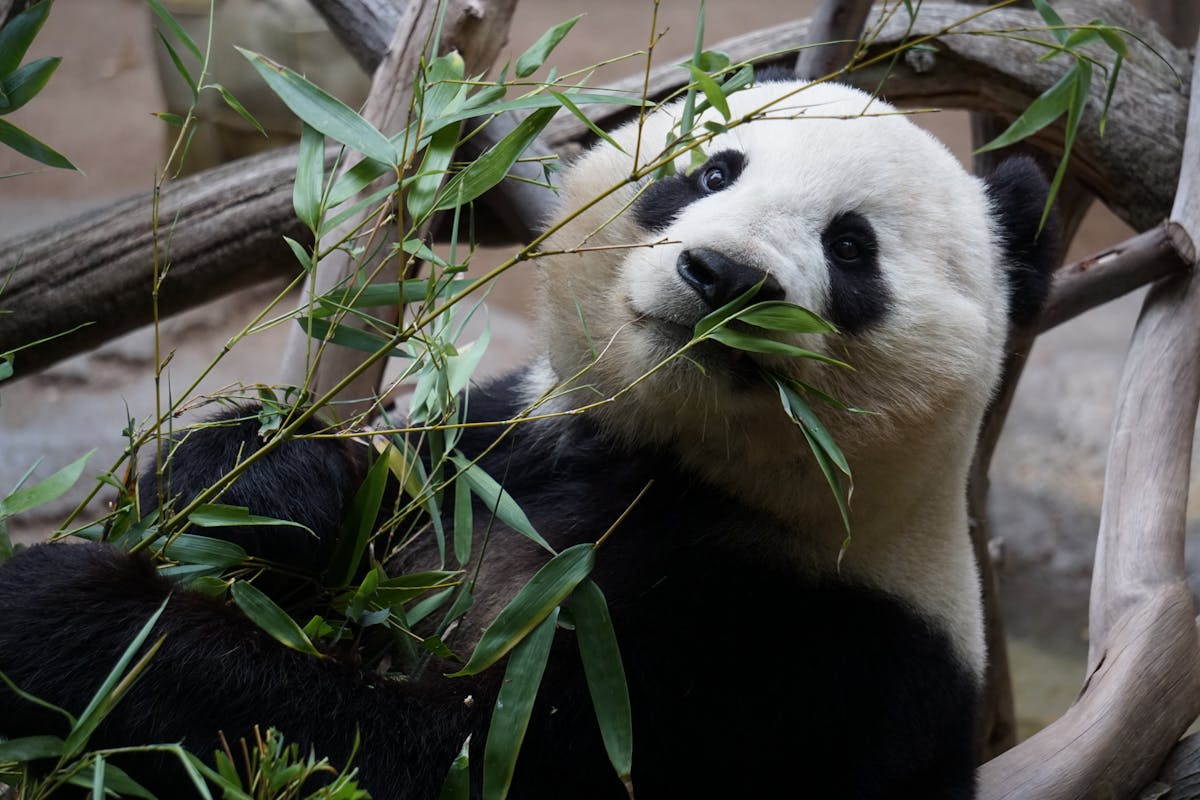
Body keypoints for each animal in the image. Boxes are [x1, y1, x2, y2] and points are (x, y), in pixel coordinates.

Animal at [0, 77, 1056, 799]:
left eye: (851, 246)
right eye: (713, 167)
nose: (723, 276)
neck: (677, 462)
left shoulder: (809, 656)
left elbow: (446, 758)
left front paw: (68, 619)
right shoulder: (509, 446)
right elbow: (364, 487)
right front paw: (272, 489)